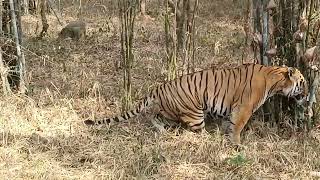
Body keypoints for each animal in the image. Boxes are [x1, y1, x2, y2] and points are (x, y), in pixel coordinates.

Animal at [84, 63, 308, 145]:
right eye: (303, 82)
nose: (307, 95)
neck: (275, 79)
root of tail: (159, 88)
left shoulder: (232, 109)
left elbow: (228, 124)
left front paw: (226, 136)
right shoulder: (243, 109)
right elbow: (237, 127)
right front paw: (236, 144)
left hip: (171, 111)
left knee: (155, 116)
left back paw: (161, 131)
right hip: (194, 113)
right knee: (191, 129)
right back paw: (204, 138)